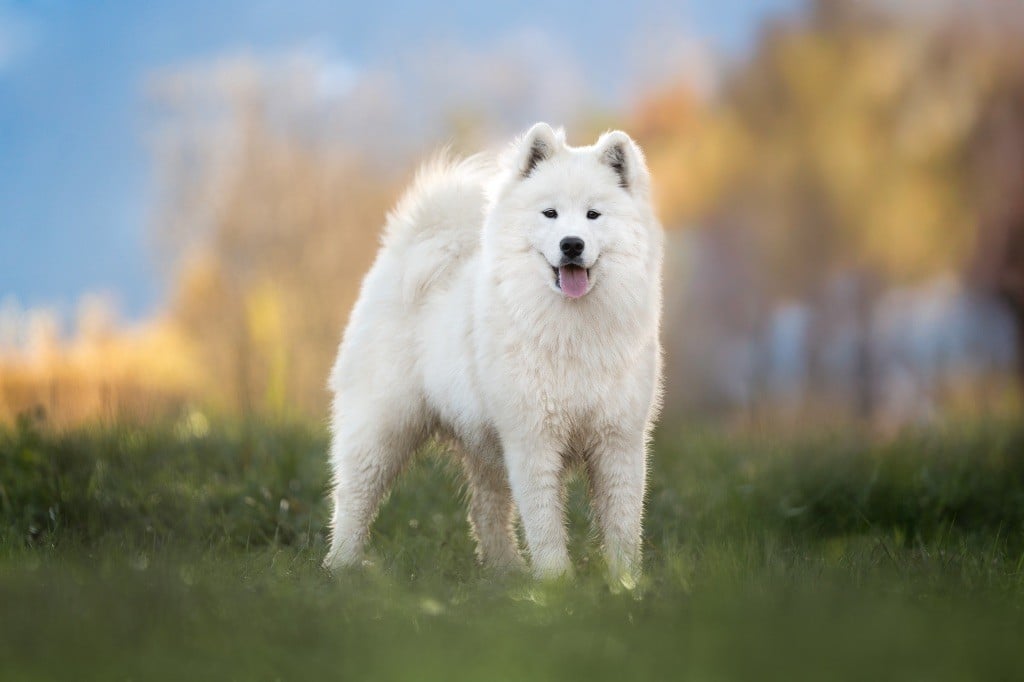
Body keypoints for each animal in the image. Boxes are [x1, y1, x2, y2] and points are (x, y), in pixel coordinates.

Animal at [323, 122, 667, 577]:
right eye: (550, 214)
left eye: (593, 214)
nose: (571, 244)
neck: (573, 326)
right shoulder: (533, 439)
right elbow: (544, 522)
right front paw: (556, 580)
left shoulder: (618, 440)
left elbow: (624, 522)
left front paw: (625, 581)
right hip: (383, 427)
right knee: (353, 495)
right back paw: (340, 563)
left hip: (485, 445)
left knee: (486, 512)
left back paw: (505, 569)